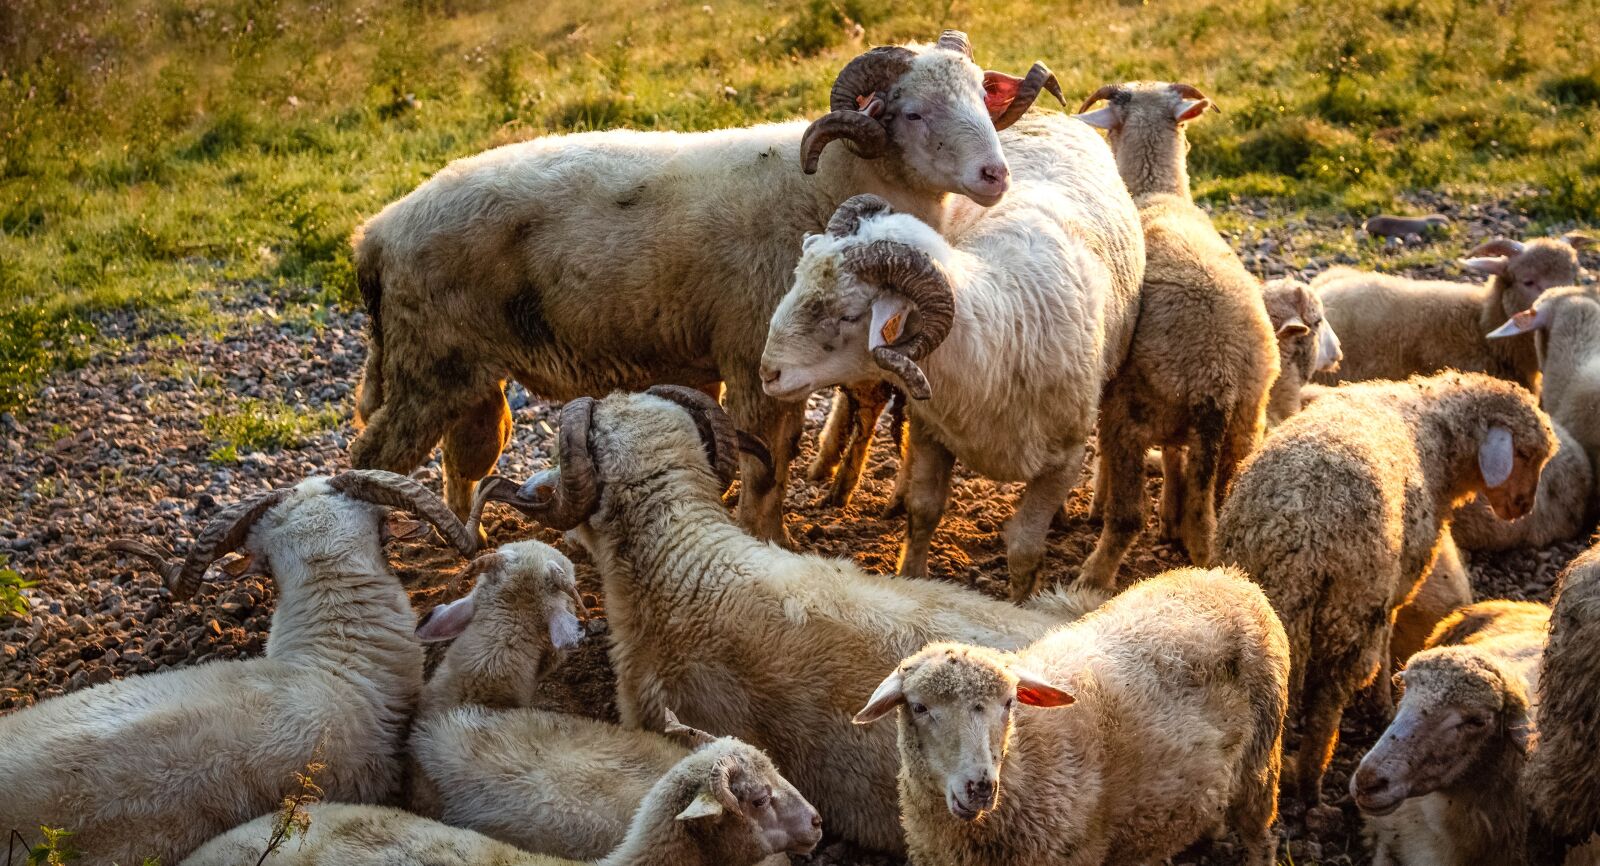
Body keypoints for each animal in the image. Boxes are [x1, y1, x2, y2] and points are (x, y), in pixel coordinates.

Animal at [346, 31, 1066, 544]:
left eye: (981, 98)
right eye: (912, 113)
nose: (995, 175)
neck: (823, 180)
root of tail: (375, 231)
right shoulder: (753, 359)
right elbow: (767, 469)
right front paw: (770, 540)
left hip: (463, 370)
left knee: (464, 451)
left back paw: (463, 537)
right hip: (426, 366)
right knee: (373, 454)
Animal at [759, 112, 1144, 599]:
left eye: (848, 314)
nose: (768, 372)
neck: (1002, 330)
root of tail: (1053, 115)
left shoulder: (1064, 461)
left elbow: (1024, 549)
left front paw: (1020, 603)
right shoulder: (932, 433)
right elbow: (923, 512)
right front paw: (912, 576)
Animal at [851, 567, 1289, 866]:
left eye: (1009, 703)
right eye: (920, 707)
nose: (979, 786)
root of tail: (1230, 578)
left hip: (1260, 763)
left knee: (1261, 837)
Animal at [1067, 82, 1279, 589]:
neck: (1155, 191)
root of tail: (1216, 375)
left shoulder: (1111, 390)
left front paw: (1098, 502)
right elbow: (1175, 458)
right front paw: (1170, 516)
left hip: (1133, 408)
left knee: (1128, 518)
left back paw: (1094, 575)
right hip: (1244, 426)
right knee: (1209, 513)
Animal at [1214, 371, 1557, 822]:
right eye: (1526, 454)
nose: (1521, 507)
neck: (1431, 426)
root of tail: (1298, 530)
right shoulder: (1398, 583)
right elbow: (1390, 638)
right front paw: (1383, 700)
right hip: (1352, 609)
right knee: (1327, 706)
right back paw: (1311, 785)